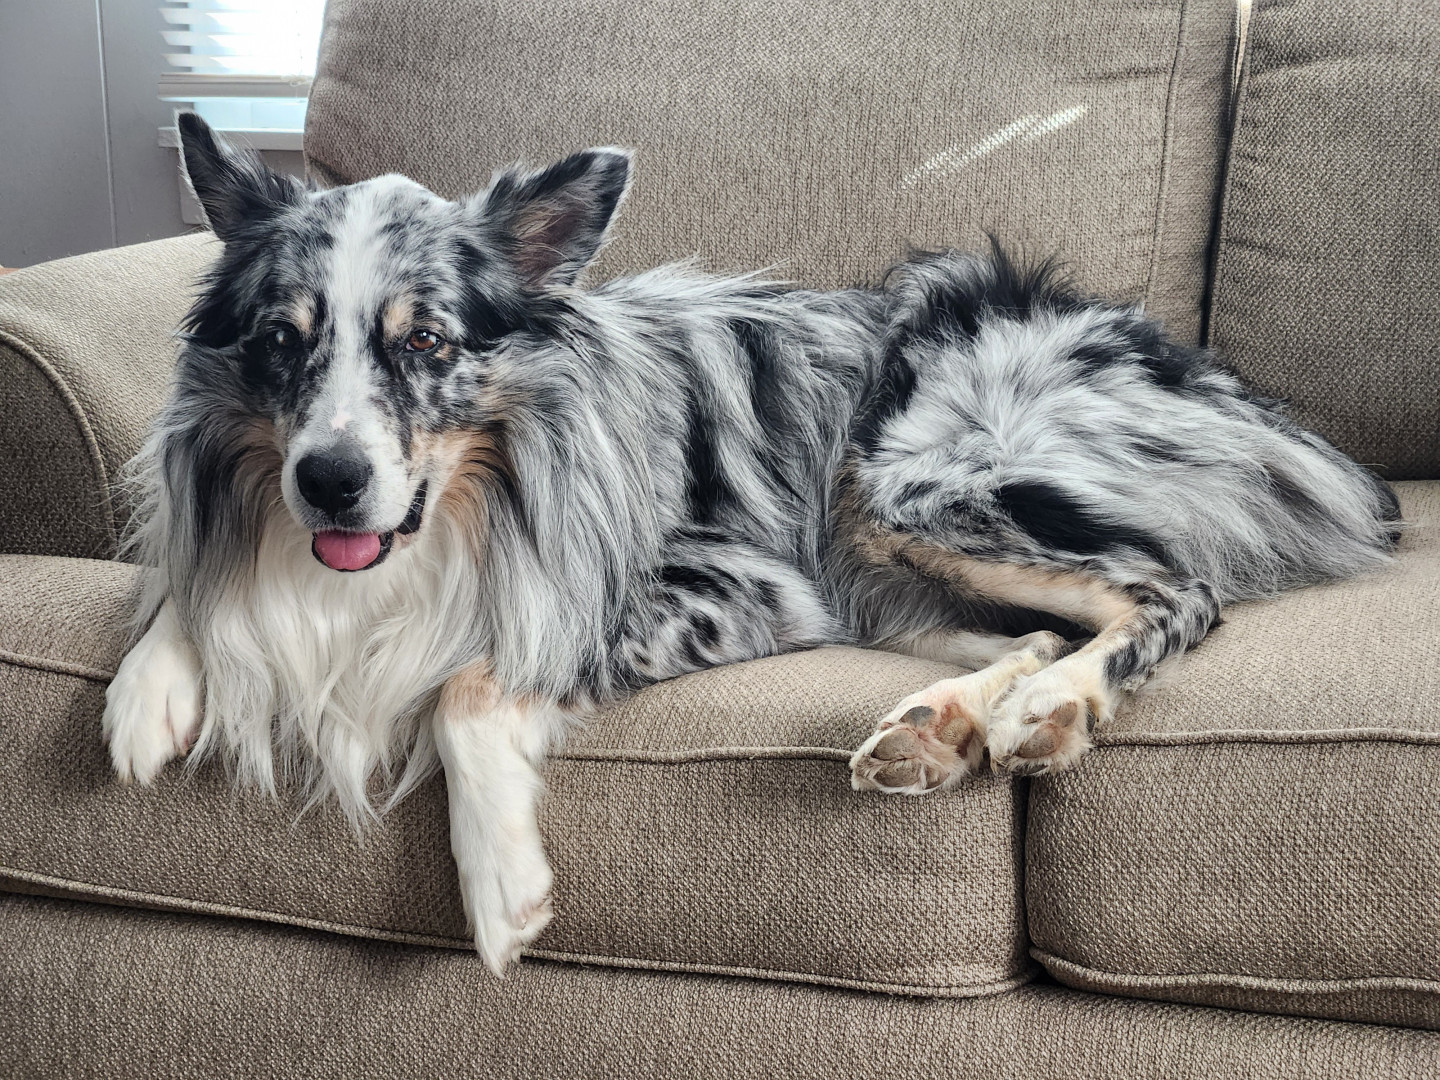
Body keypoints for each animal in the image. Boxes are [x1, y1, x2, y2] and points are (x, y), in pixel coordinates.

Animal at [102, 112, 1400, 974]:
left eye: (426, 342)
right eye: (282, 339)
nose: (329, 485)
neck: (463, 504)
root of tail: (1235, 393)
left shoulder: (733, 584)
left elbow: (470, 682)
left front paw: (503, 886)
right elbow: (194, 591)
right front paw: (145, 690)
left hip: (904, 484)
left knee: (1171, 590)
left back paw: (1052, 708)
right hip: (887, 575)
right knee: (1033, 627)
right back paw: (940, 730)